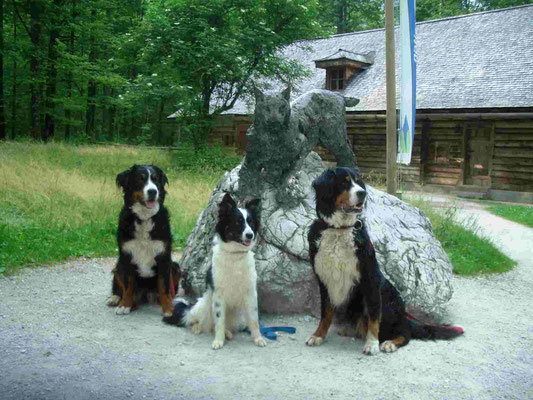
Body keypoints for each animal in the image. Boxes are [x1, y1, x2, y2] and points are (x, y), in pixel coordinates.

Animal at [106, 164, 181, 318]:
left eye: (155, 179)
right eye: (140, 179)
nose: (153, 191)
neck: (144, 218)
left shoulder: (164, 257)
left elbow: (164, 287)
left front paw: (169, 309)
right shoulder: (126, 256)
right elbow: (128, 286)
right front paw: (125, 305)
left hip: (175, 267)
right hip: (118, 266)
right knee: (119, 287)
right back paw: (115, 298)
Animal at [162, 194, 266, 350]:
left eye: (251, 222)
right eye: (238, 222)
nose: (250, 235)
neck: (235, 256)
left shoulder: (250, 294)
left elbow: (254, 320)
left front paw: (258, 338)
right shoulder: (218, 295)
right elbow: (219, 321)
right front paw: (218, 341)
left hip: (240, 316)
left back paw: (228, 333)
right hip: (203, 305)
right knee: (199, 321)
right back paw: (198, 328)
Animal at [306, 167, 464, 354]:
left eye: (358, 182)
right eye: (344, 182)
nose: (362, 193)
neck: (340, 229)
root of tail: (404, 316)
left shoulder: (370, 279)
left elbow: (374, 316)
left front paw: (372, 344)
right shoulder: (324, 279)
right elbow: (326, 313)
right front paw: (318, 335)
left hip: (389, 304)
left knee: (404, 332)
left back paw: (389, 343)